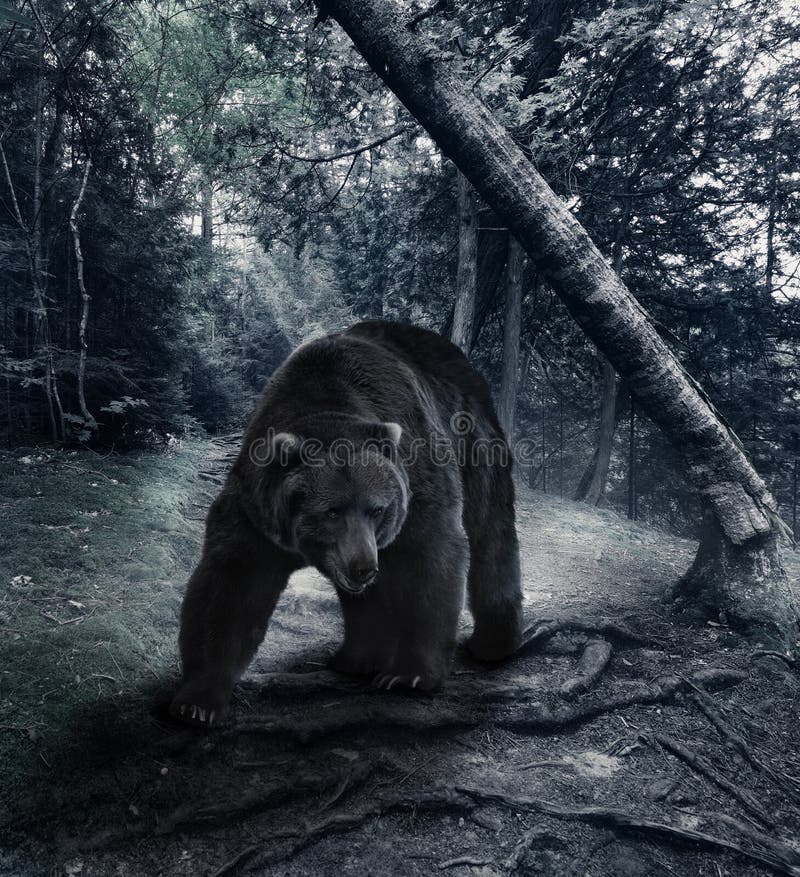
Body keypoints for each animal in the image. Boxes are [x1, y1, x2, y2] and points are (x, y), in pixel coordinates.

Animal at [171, 318, 520, 724]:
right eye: (332, 511)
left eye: (377, 509)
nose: (364, 566)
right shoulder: (256, 512)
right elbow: (231, 587)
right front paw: (197, 701)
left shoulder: (417, 478)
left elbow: (430, 557)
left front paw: (408, 674)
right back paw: (354, 658)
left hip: (473, 439)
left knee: (490, 533)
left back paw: (493, 642)